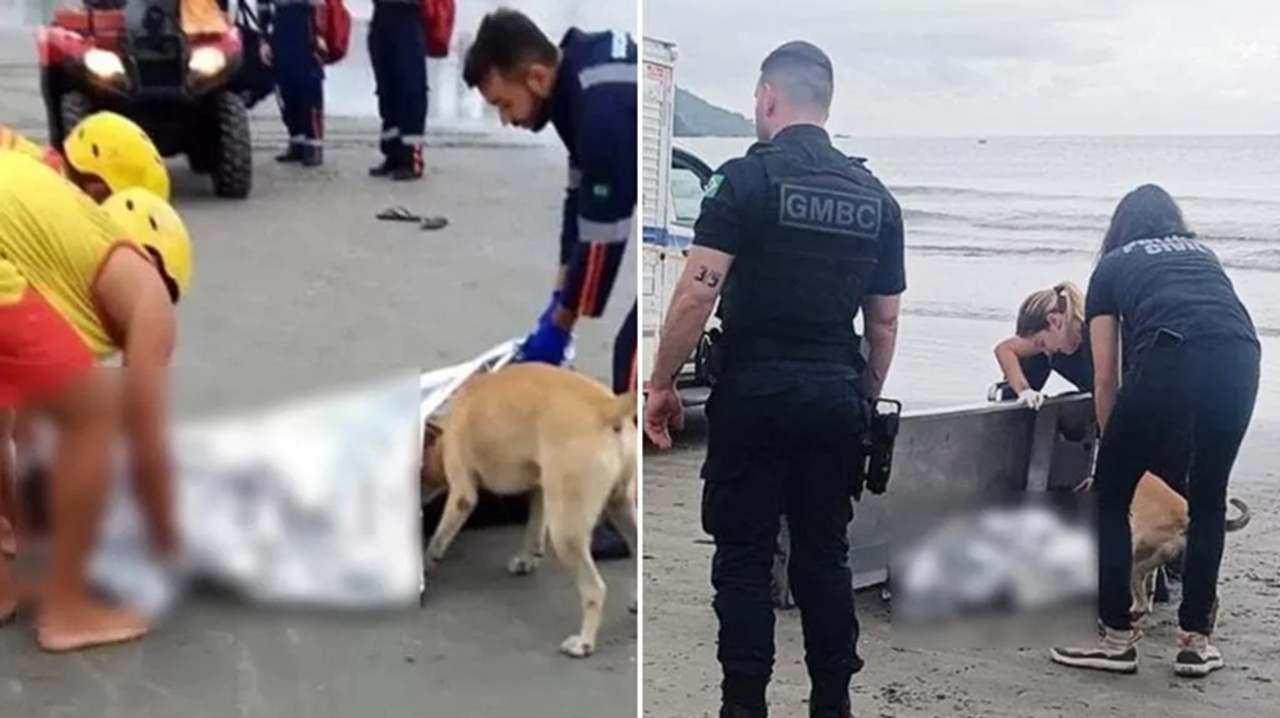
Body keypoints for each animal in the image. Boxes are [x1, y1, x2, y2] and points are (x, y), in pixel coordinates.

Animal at [422, 363, 637, 655]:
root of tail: (607, 407)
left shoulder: (462, 493)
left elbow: (440, 536)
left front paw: (426, 561)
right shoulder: (540, 487)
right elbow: (534, 526)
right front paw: (527, 558)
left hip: (566, 532)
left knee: (594, 590)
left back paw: (583, 642)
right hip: (621, 506)